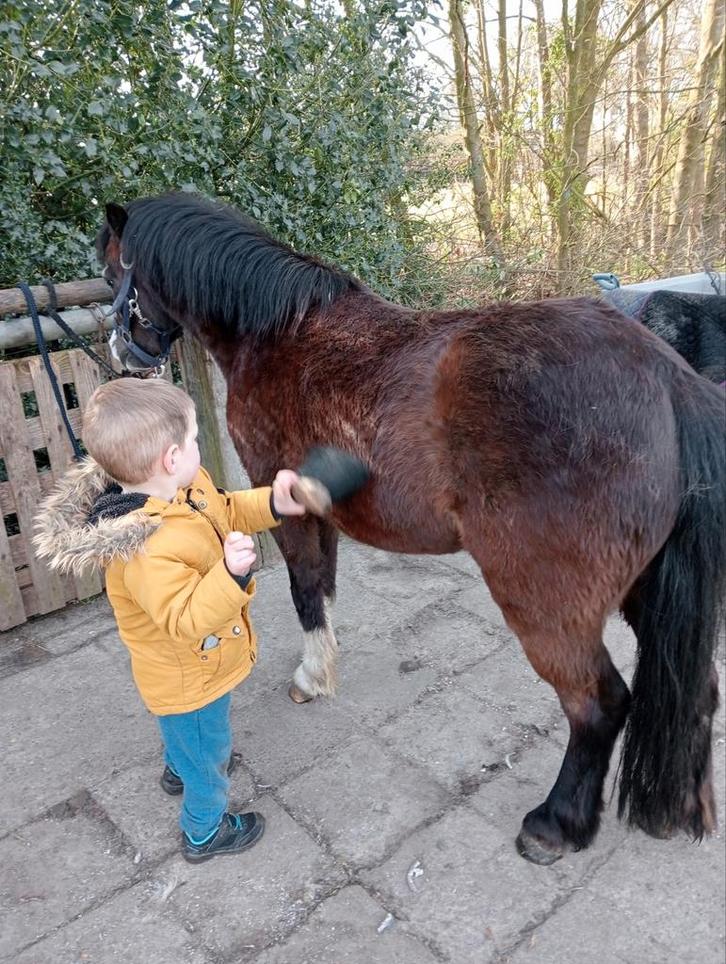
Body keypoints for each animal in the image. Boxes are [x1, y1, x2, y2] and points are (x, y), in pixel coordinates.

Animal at [96, 193, 725, 866]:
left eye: (112, 274)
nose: (123, 354)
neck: (276, 333)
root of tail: (666, 377)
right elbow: (324, 585)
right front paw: (326, 662)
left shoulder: (285, 499)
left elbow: (304, 587)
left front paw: (312, 677)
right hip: (647, 590)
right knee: (695, 693)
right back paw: (684, 809)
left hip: (546, 604)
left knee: (598, 705)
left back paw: (554, 824)